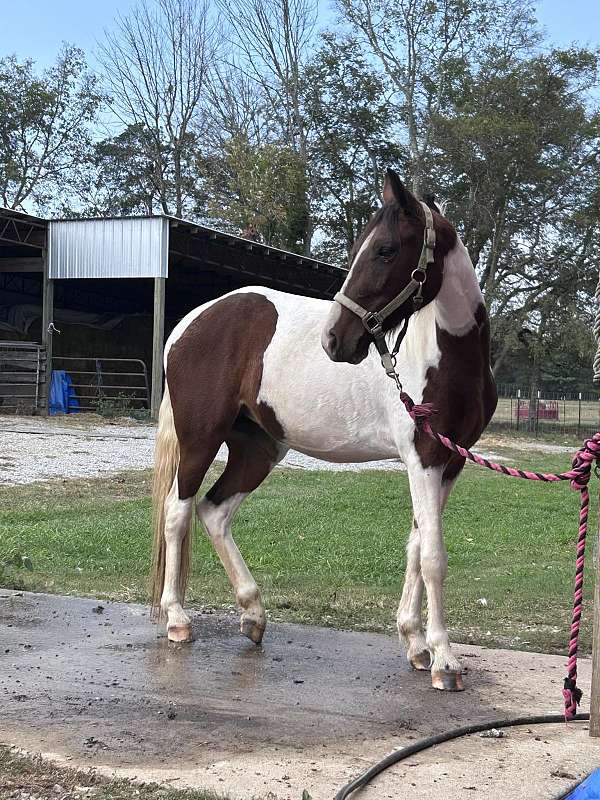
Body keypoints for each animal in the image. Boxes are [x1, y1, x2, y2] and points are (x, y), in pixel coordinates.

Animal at [151, 170, 496, 692]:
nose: (335, 340)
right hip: (201, 439)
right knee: (179, 512)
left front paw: (416, 643)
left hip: (259, 448)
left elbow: (418, 545)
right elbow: (434, 556)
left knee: (215, 511)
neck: (448, 355)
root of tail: (191, 322)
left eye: (386, 250)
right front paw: (444, 661)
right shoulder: (423, 458)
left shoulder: (448, 461)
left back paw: (253, 614)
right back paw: (177, 620)